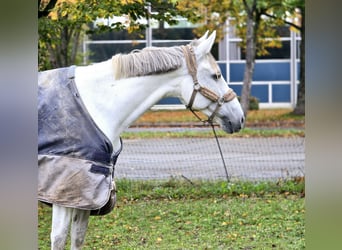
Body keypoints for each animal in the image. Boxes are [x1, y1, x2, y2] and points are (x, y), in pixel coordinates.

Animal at [38, 30, 243, 249]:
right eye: (216, 75)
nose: (239, 117)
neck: (97, 105)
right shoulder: (64, 195)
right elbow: (59, 238)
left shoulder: (86, 197)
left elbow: (77, 238)